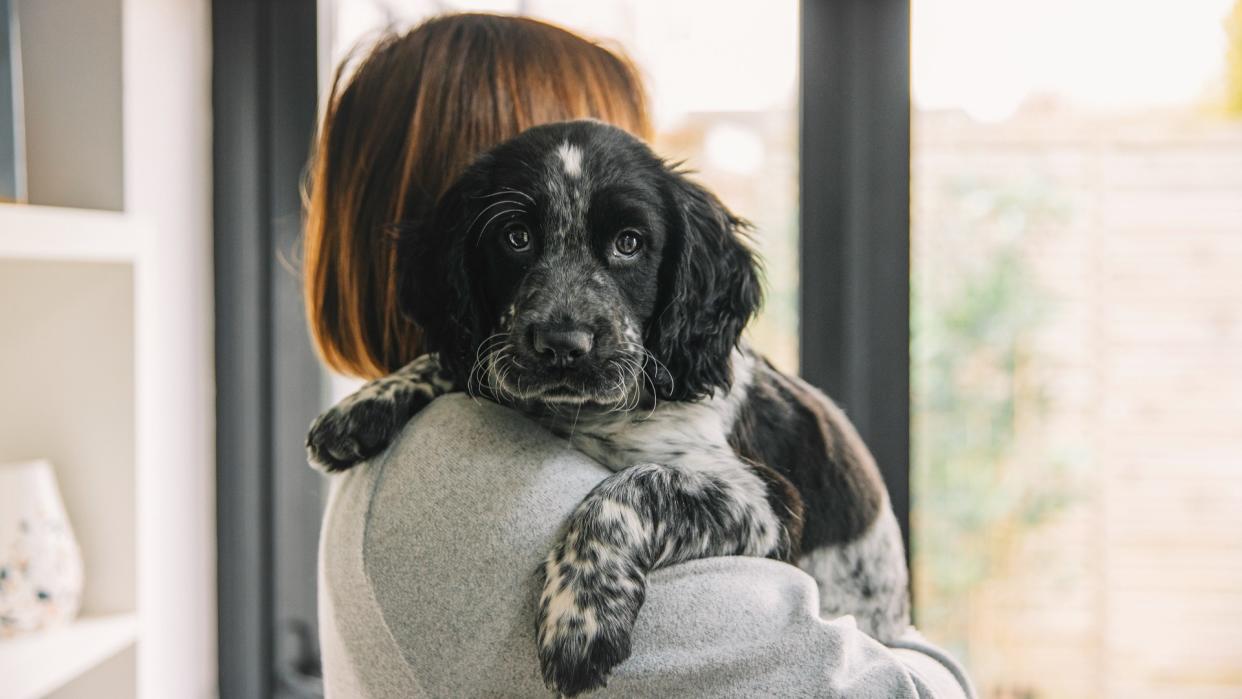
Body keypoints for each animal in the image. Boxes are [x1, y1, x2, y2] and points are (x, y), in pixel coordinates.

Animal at [308, 121, 914, 699]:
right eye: (516, 237)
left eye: (629, 243)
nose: (562, 345)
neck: (586, 416)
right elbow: (465, 362)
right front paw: (364, 405)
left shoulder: (768, 501)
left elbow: (632, 487)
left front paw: (580, 619)